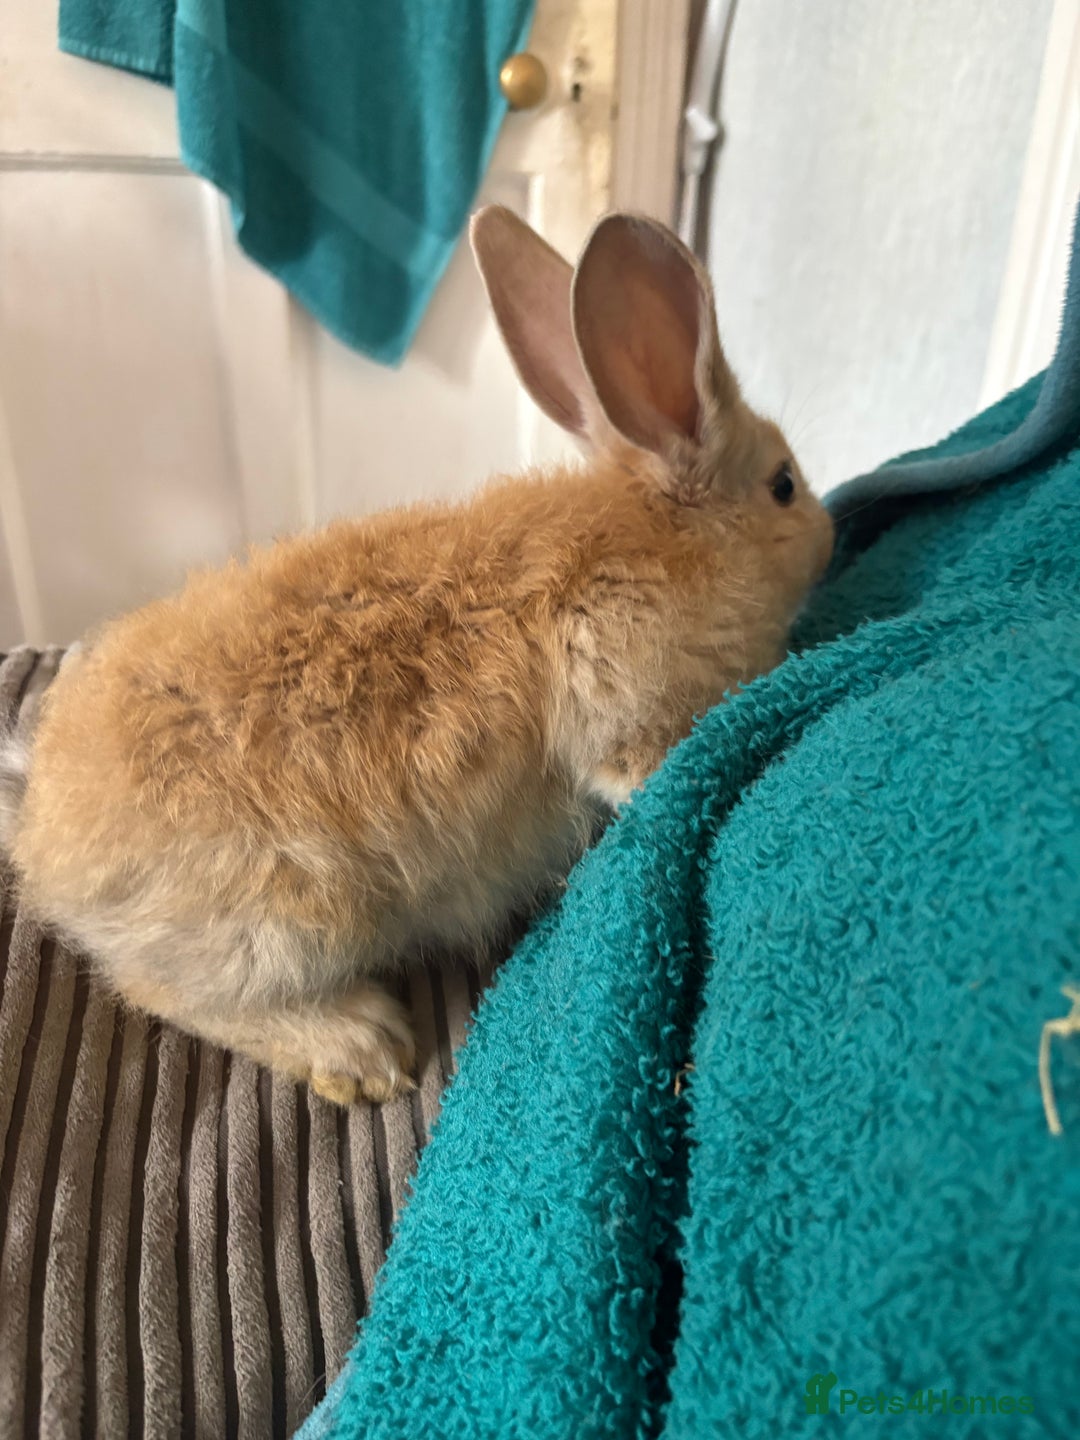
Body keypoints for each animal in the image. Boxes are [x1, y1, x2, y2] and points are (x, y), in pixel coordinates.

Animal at [0, 208, 833, 1106]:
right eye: (784, 485)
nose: (829, 534)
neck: (673, 534)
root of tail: (46, 836)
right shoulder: (617, 688)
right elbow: (631, 761)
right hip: (292, 923)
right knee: (166, 990)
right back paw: (359, 1048)